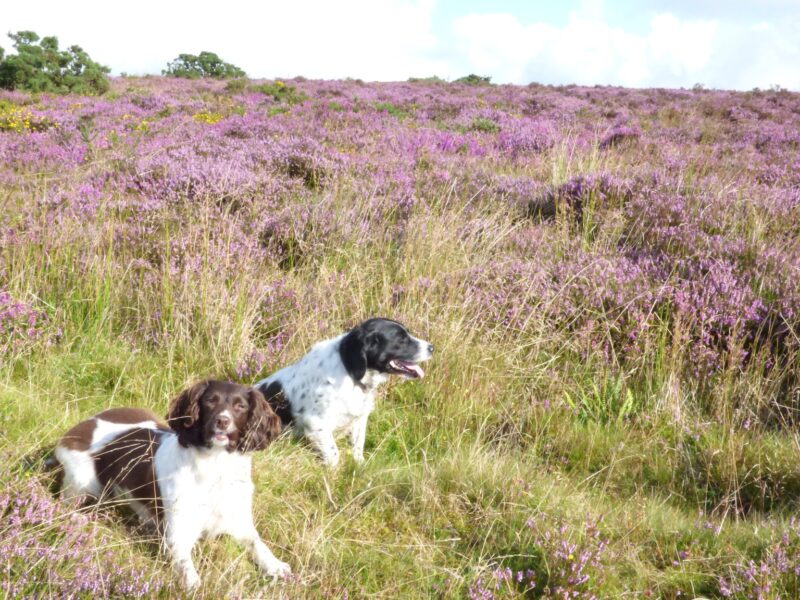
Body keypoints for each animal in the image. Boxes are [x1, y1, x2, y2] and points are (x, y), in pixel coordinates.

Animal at [255, 316, 432, 466]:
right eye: (401, 339)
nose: (432, 347)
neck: (350, 372)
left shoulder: (359, 419)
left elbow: (358, 447)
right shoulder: (316, 423)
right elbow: (334, 454)